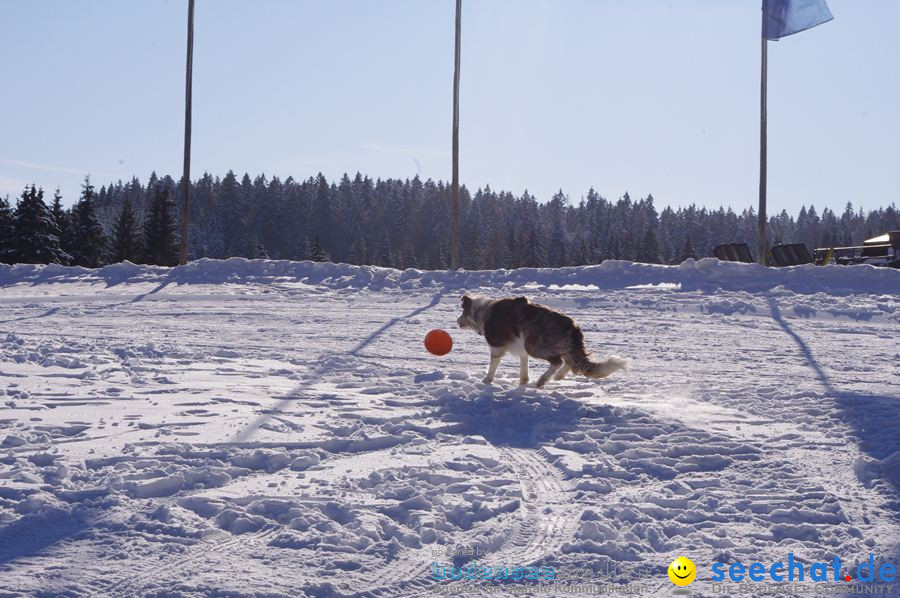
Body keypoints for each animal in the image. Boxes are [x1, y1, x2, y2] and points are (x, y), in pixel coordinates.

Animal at [458, 296, 624, 390]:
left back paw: (542, 380)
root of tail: (573, 326)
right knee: (570, 362)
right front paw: (523, 382)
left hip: (534, 345)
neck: (483, 311)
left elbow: (493, 365)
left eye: (462, 313)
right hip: (558, 346)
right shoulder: (521, 350)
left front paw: (487, 380)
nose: (457, 321)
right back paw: (558, 376)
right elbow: (524, 365)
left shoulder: (497, 346)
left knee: (558, 361)